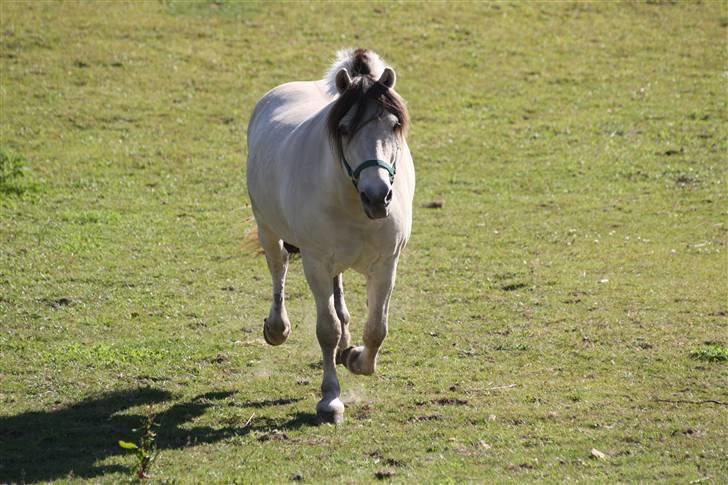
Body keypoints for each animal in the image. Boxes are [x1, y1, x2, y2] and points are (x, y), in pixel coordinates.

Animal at [246, 47, 412, 422]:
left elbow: (377, 328)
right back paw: (277, 328)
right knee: (278, 267)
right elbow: (327, 329)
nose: (377, 196)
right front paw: (330, 399)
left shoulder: (387, 264)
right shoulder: (316, 263)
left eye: (394, 125)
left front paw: (356, 357)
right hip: (268, 229)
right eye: (345, 129)